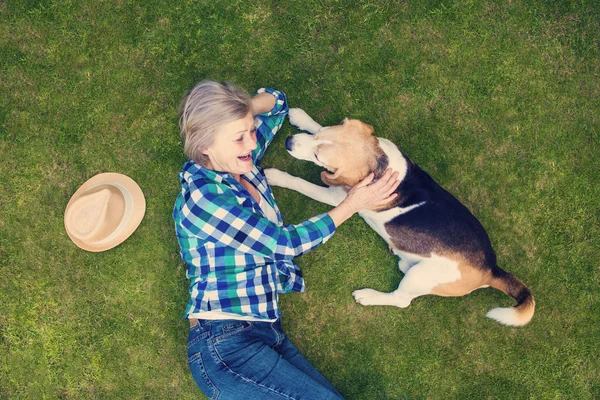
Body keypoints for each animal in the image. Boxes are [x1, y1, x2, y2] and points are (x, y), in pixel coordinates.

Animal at [264, 108, 536, 324]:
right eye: (318, 137)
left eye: (318, 157)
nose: (288, 141)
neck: (379, 162)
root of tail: (490, 269)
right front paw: (302, 117)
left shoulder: (338, 198)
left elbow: (301, 183)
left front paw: (274, 176)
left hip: (420, 277)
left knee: (401, 300)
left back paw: (369, 295)